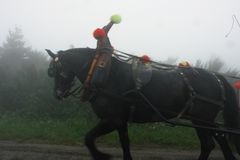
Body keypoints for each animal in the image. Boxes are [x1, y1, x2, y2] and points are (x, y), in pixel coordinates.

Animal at [46, 47, 240, 160]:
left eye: (59, 70)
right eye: (51, 71)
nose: (58, 94)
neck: (107, 74)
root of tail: (216, 77)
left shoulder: (112, 120)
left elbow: (88, 138)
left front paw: (101, 155)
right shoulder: (121, 121)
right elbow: (125, 143)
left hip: (200, 119)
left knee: (208, 144)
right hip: (205, 120)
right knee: (220, 137)